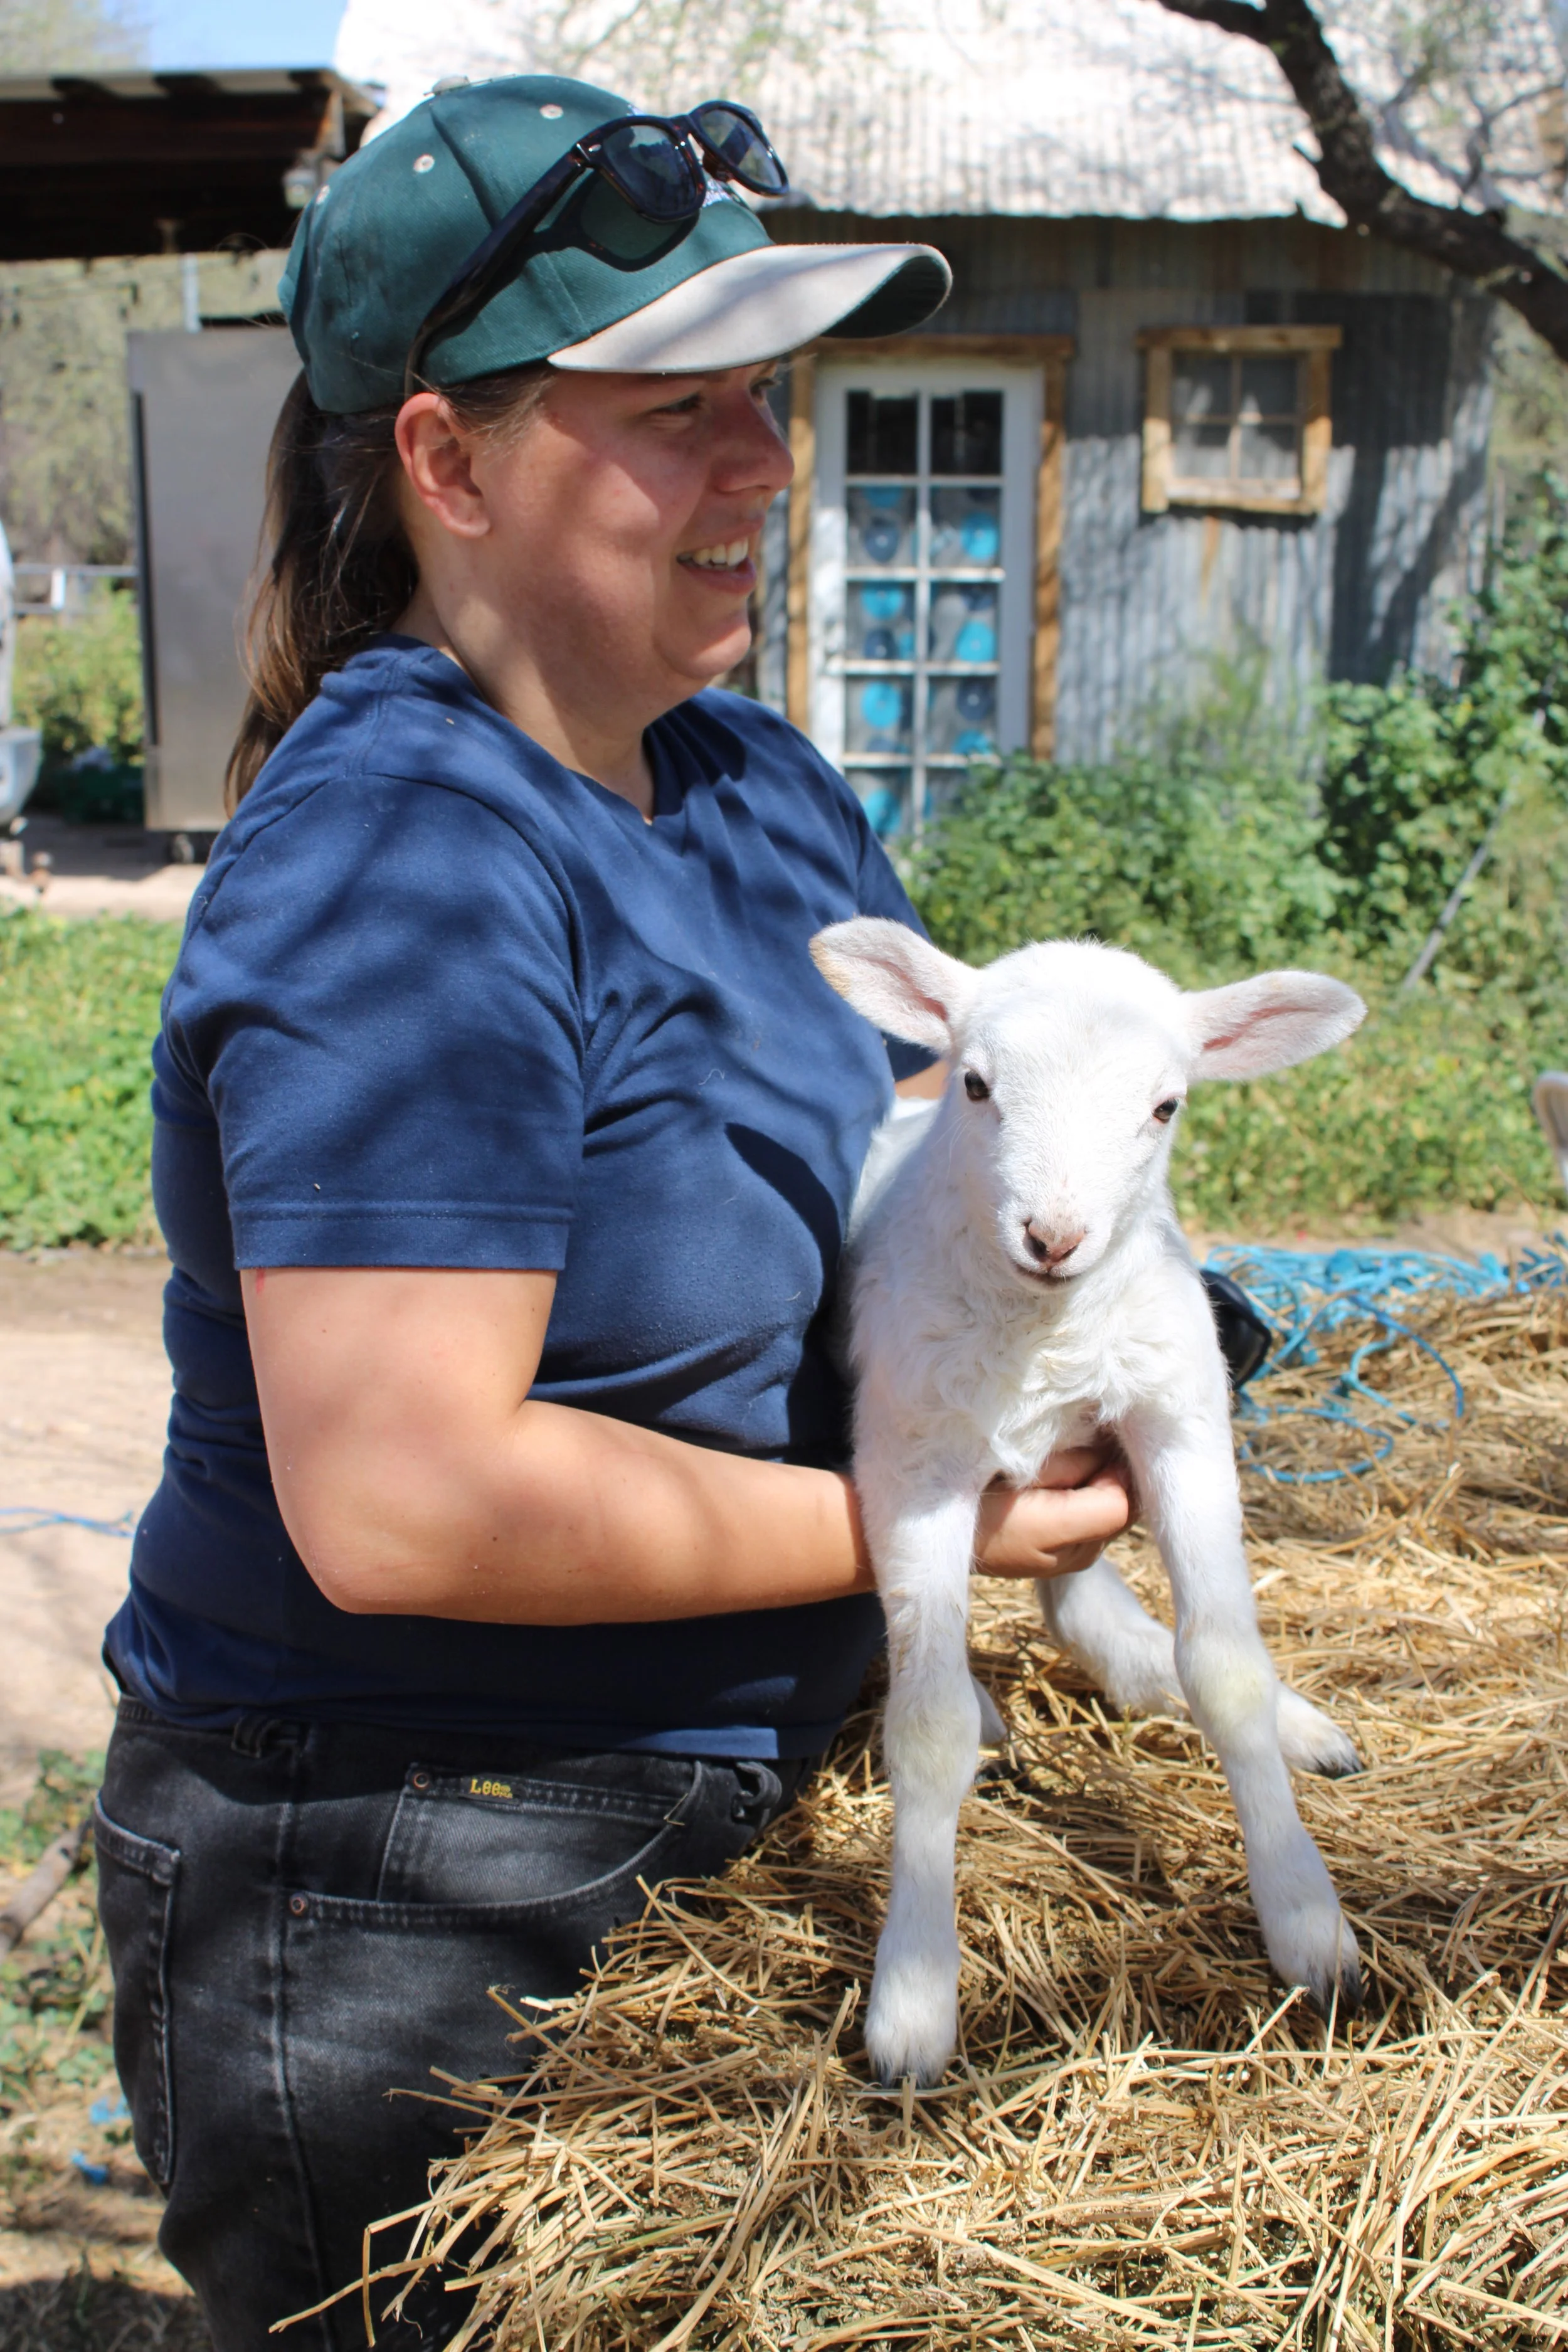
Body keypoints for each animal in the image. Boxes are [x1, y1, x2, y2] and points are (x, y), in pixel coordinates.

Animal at [810, 923, 1367, 2088]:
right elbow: (925, 1727)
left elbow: (1229, 1672)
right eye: (975, 1084)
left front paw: (1307, 1918)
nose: (1054, 1235)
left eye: (1167, 1106)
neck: (1046, 1330)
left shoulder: (1180, 1417)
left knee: (1089, 1611)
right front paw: (913, 2000)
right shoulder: (913, 1459)